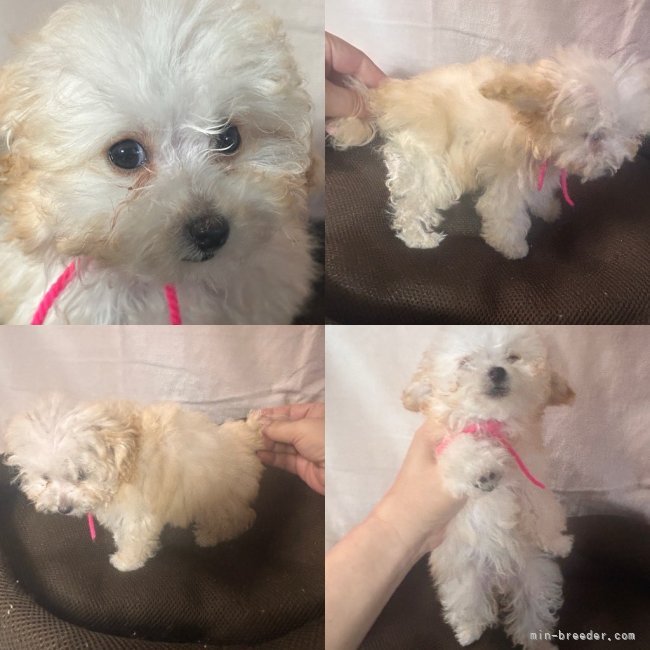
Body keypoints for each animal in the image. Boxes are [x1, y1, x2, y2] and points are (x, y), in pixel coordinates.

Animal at [3, 395, 265, 571]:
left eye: (81, 475)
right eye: (45, 479)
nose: (64, 508)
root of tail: (245, 438)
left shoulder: (139, 513)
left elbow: (135, 537)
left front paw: (125, 561)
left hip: (221, 496)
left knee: (240, 517)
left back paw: (209, 536)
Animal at [329, 47, 650, 258]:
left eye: (627, 132)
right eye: (595, 136)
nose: (611, 168)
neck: (532, 133)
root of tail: (388, 97)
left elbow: (539, 195)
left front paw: (547, 209)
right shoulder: (508, 184)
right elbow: (505, 215)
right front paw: (512, 247)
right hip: (429, 163)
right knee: (411, 206)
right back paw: (420, 239)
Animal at [402, 326, 574, 649]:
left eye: (513, 357)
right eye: (466, 362)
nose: (496, 371)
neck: (492, 422)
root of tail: (499, 576)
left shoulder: (531, 474)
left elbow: (542, 509)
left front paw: (557, 542)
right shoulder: (445, 449)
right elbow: (461, 450)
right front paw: (483, 470)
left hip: (535, 577)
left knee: (532, 610)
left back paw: (538, 641)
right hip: (464, 578)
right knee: (468, 605)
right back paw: (468, 632)